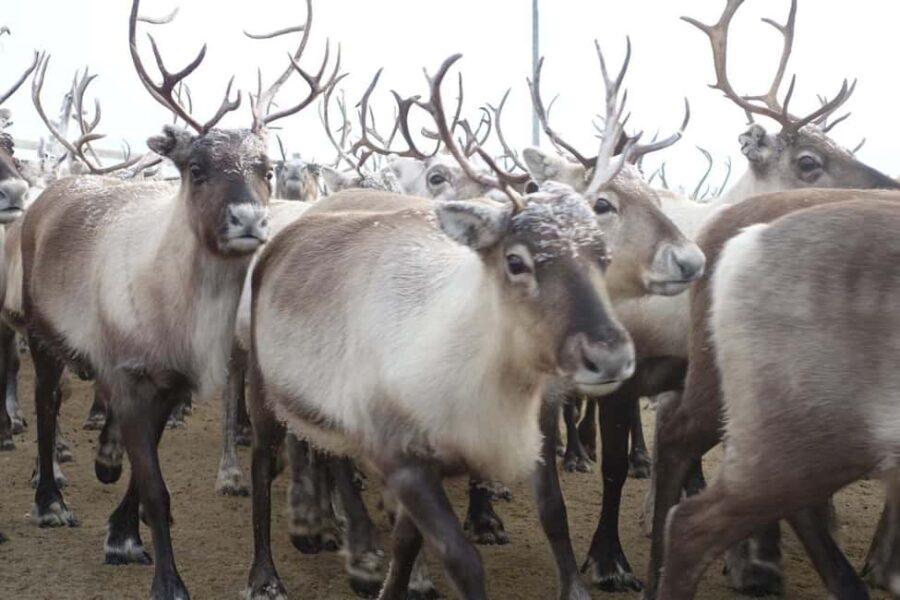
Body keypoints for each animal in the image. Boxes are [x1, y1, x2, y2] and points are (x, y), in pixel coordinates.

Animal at [17, 1, 337, 598]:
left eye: (267, 168)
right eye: (195, 168)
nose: (249, 219)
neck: (177, 311)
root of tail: (58, 189)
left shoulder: (174, 384)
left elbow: (148, 478)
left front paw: (122, 532)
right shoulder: (127, 376)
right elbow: (155, 487)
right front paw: (166, 579)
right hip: (40, 333)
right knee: (47, 406)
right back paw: (50, 500)